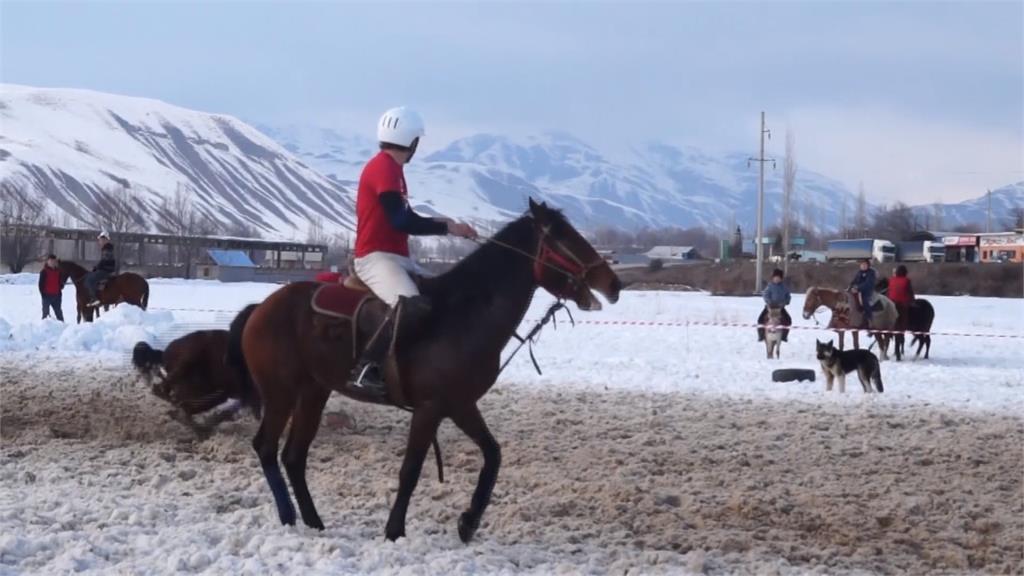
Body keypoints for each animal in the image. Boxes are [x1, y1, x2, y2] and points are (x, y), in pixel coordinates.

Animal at [228, 199, 618, 541]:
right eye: (561, 238)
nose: (613, 283)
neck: (464, 314)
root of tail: (262, 307)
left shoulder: (460, 405)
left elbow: (493, 455)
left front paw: (468, 522)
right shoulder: (429, 409)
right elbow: (411, 470)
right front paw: (394, 531)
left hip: (313, 391)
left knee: (294, 456)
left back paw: (313, 521)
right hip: (281, 393)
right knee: (266, 447)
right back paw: (288, 517)